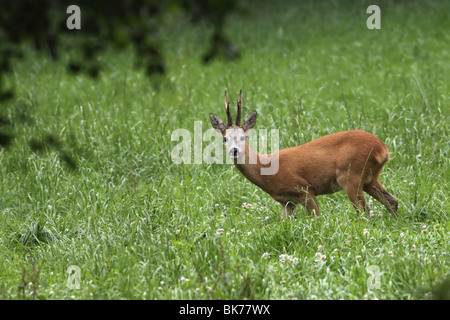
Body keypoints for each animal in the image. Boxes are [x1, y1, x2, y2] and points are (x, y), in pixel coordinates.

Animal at [209, 90, 400, 220]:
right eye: (225, 138)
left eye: (243, 137)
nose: (234, 151)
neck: (266, 169)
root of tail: (383, 148)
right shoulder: (286, 202)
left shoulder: (305, 188)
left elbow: (318, 219)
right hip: (369, 178)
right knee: (392, 201)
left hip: (350, 175)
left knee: (364, 212)